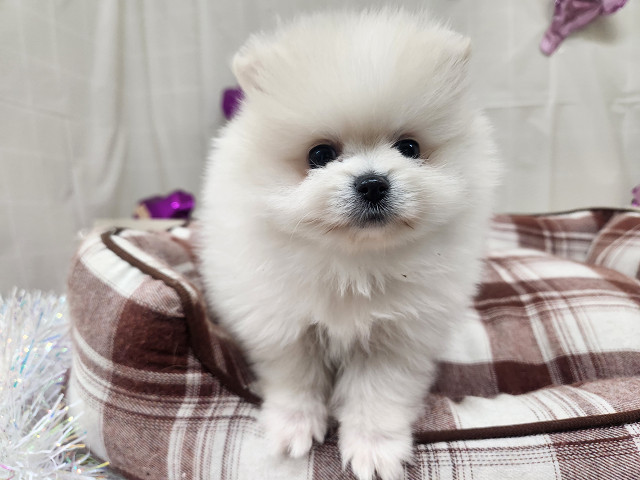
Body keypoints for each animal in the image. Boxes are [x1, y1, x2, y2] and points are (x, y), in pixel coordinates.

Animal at [199, 9, 500, 480]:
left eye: (409, 147)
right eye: (319, 155)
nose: (373, 183)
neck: (354, 262)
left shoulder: (396, 336)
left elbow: (377, 394)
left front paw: (374, 452)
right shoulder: (284, 324)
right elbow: (295, 377)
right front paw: (292, 430)